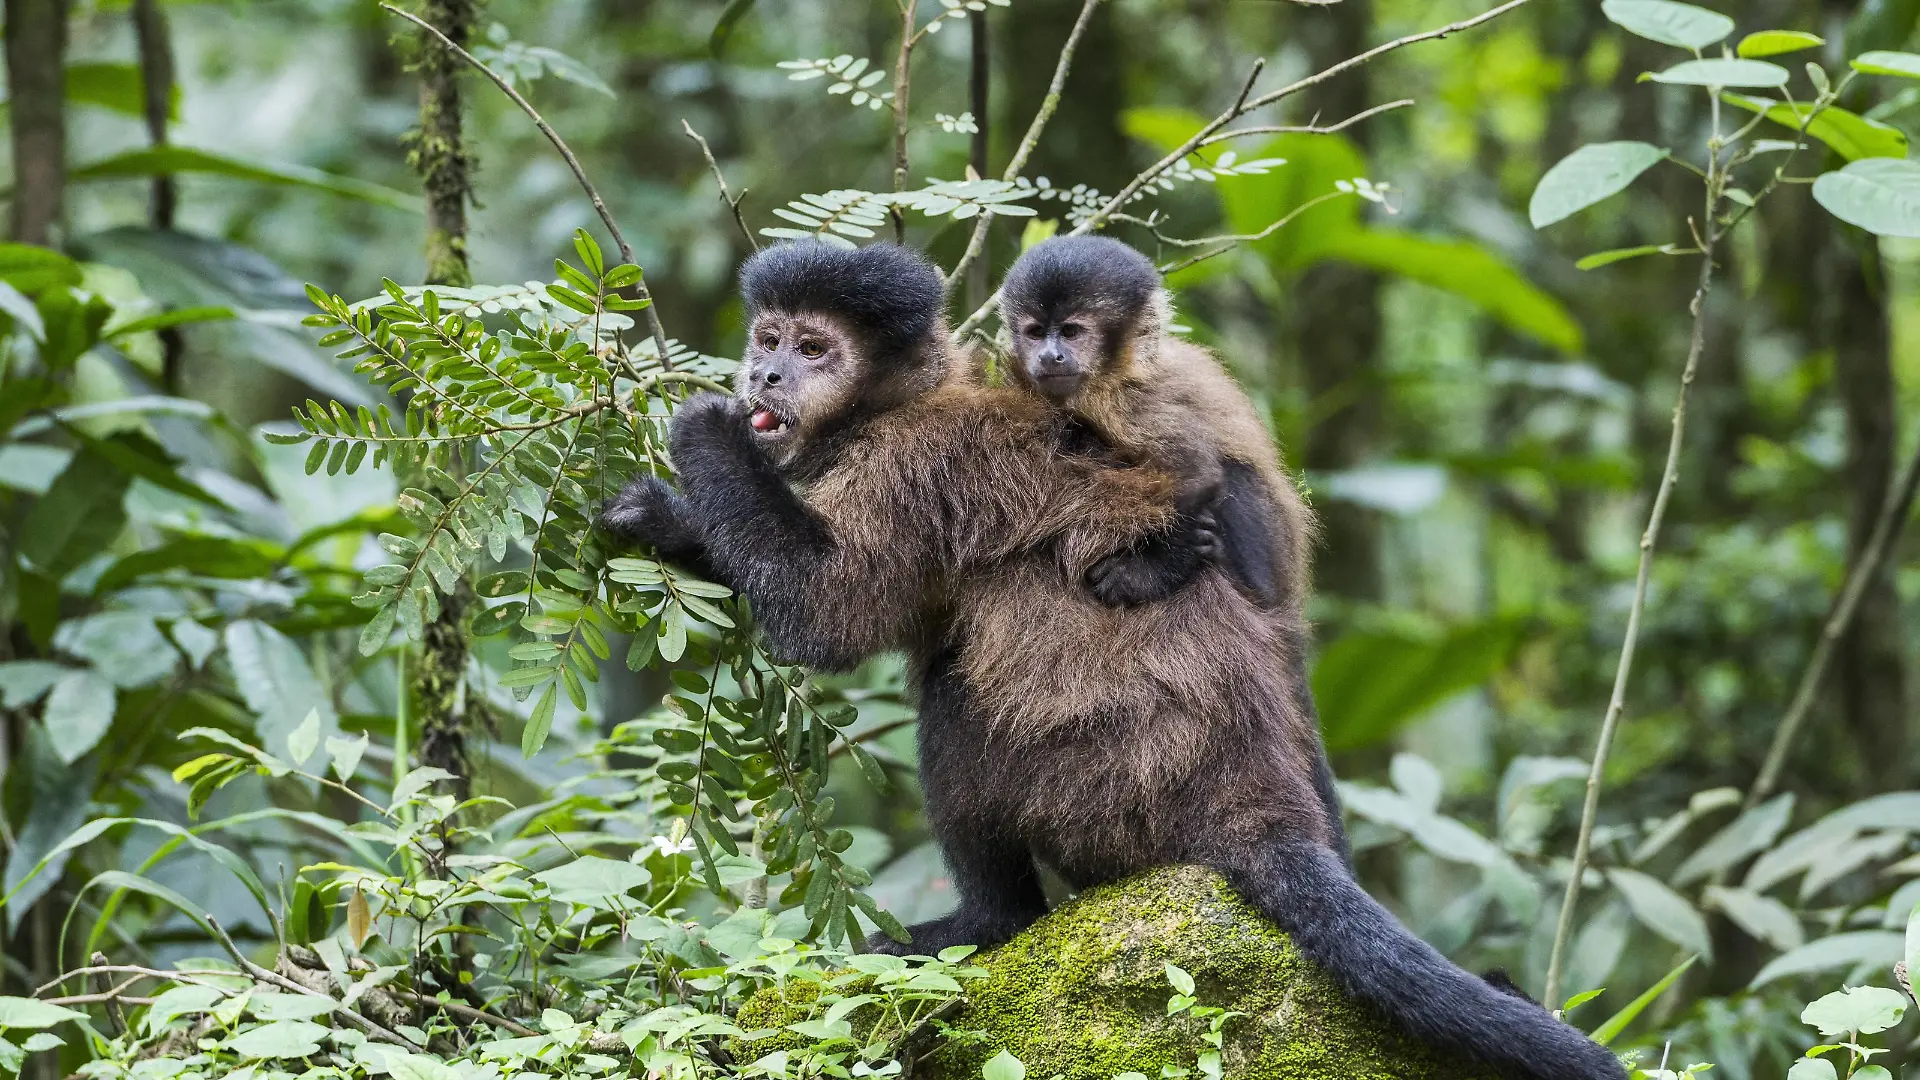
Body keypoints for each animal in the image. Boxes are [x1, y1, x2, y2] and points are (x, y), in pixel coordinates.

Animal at [602, 241, 1624, 1080]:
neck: (894, 405)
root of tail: (1254, 795)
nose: (765, 369)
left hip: (1102, 793)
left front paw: (705, 436)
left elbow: (828, 618)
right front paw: (660, 518)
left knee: (955, 700)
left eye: (815, 350)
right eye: (771, 335)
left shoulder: (913, 462)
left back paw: (986, 924)